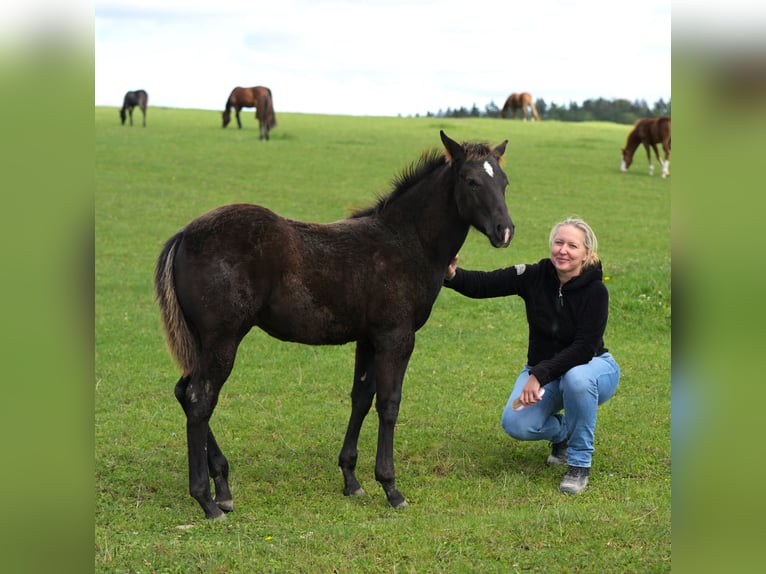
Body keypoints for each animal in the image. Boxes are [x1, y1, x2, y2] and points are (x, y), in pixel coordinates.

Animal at [154, 132, 516, 520]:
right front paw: (390, 487)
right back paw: (207, 500)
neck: (407, 240)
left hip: (202, 341)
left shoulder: (368, 339)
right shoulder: (396, 337)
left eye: (504, 182)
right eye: (471, 181)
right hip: (223, 339)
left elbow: (361, 397)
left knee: (184, 391)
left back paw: (222, 486)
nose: (505, 231)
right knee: (199, 400)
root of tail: (184, 234)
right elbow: (389, 403)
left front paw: (351, 479)